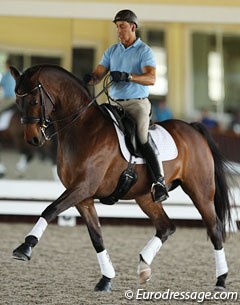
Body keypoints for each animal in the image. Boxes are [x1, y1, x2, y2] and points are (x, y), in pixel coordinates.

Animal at [10, 65, 233, 290]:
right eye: (18, 102)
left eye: (34, 101)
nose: (33, 138)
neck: (83, 128)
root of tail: (193, 129)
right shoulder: (83, 197)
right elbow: (96, 237)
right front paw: (106, 279)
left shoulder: (83, 187)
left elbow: (50, 209)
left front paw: (25, 247)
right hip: (145, 197)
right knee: (166, 227)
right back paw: (143, 266)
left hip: (200, 191)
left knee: (214, 229)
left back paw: (221, 280)